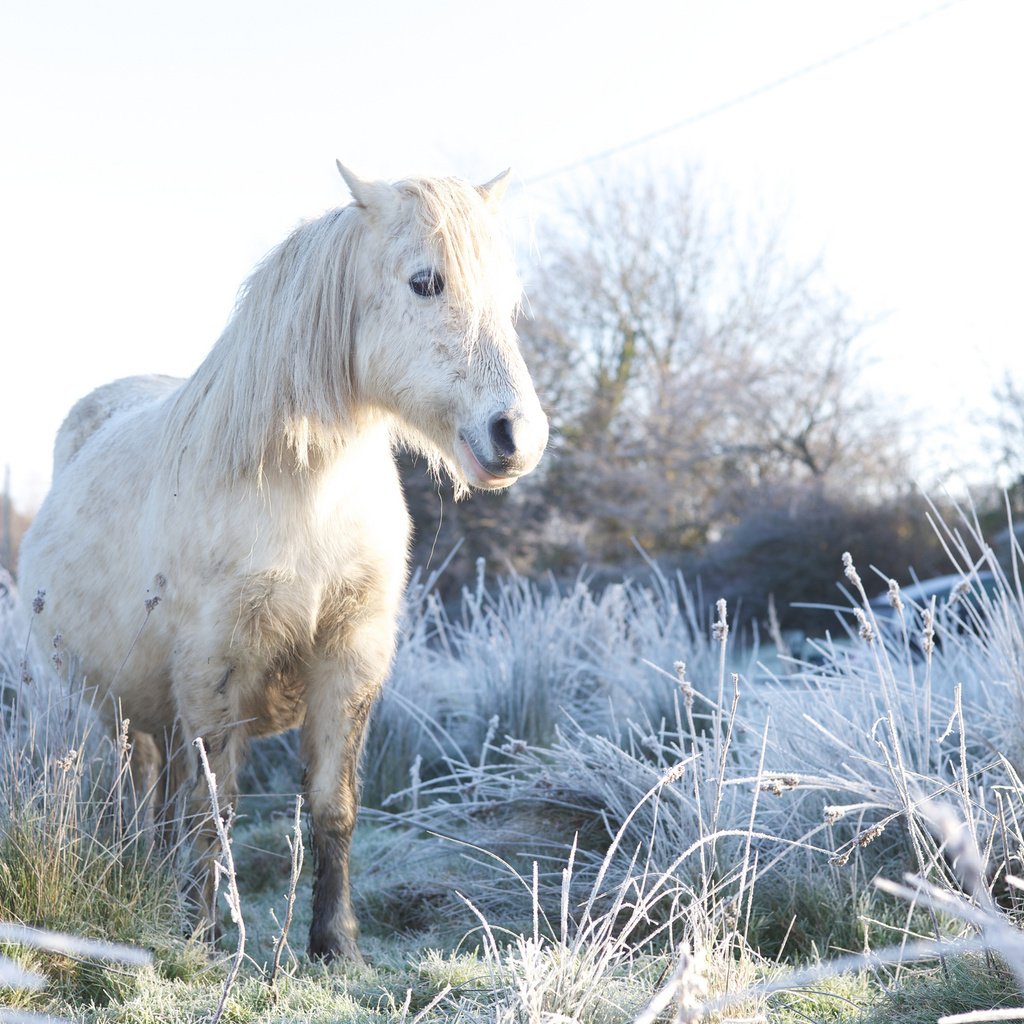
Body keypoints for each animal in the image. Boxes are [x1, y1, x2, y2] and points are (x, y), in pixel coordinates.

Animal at [18, 161, 544, 958]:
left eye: (509, 297)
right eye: (426, 281)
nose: (517, 435)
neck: (304, 492)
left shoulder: (349, 658)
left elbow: (332, 804)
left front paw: (335, 944)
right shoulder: (215, 667)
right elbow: (216, 810)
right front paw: (204, 937)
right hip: (122, 711)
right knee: (144, 793)